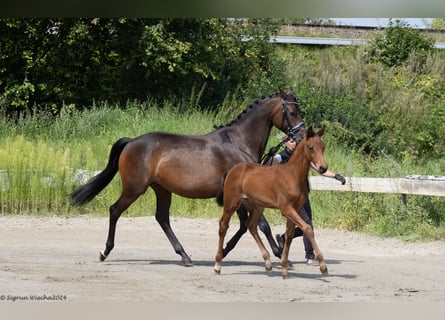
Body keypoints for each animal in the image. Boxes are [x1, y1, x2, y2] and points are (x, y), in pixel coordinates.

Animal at [71, 89, 304, 264]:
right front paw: (280, 255)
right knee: (115, 210)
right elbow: (260, 224)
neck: (239, 142)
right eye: (292, 111)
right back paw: (105, 252)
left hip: (162, 189)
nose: (301, 136)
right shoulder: (241, 195)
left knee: (162, 218)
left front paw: (225, 251)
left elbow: (245, 225)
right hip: (134, 188)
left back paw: (184, 255)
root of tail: (131, 142)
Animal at [213, 126, 328, 278]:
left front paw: (284, 267)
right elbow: (308, 229)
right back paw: (217, 265)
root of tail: (233, 170)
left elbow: (289, 234)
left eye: (323, 147)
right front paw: (323, 266)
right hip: (231, 203)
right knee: (223, 226)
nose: (323, 168)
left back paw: (267, 262)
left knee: (251, 225)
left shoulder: (295, 209)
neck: (292, 175)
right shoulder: (286, 209)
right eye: (310, 147)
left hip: (257, 206)